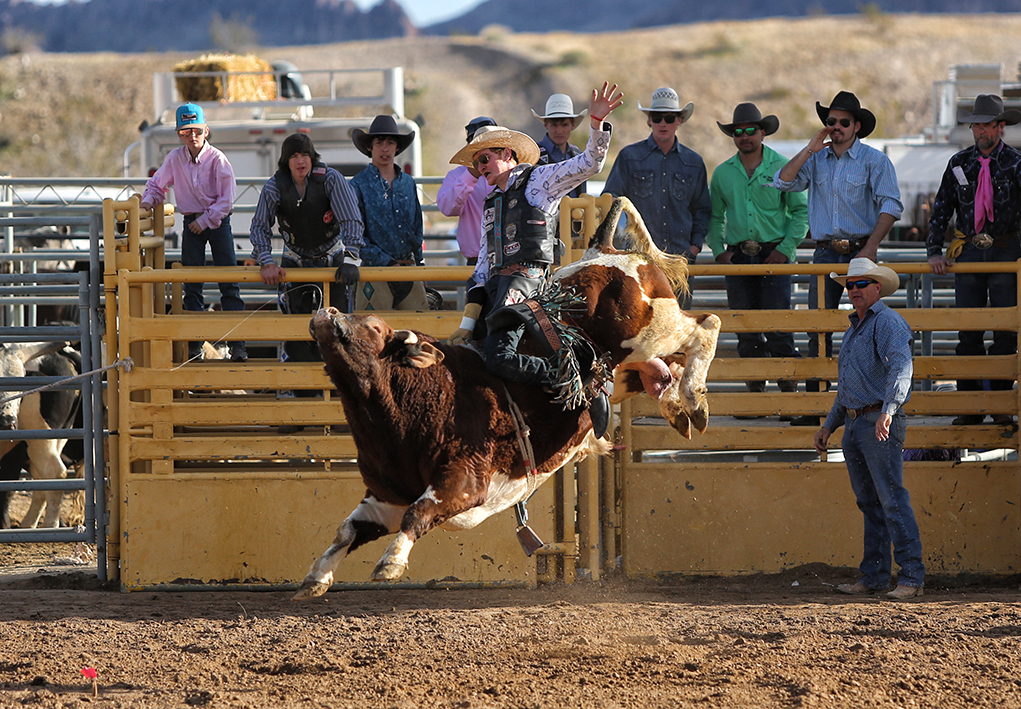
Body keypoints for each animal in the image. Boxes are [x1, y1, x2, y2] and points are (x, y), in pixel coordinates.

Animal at [294, 196, 726, 600]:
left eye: (373, 326)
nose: (328, 311)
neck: (416, 398)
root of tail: (602, 253)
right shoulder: (385, 501)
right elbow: (347, 530)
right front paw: (316, 577)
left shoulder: (464, 481)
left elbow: (418, 512)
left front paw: (390, 562)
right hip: (630, 363)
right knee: (666, 368)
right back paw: (680, 409)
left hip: (651, 328)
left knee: (706, 326)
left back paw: (695, 399)